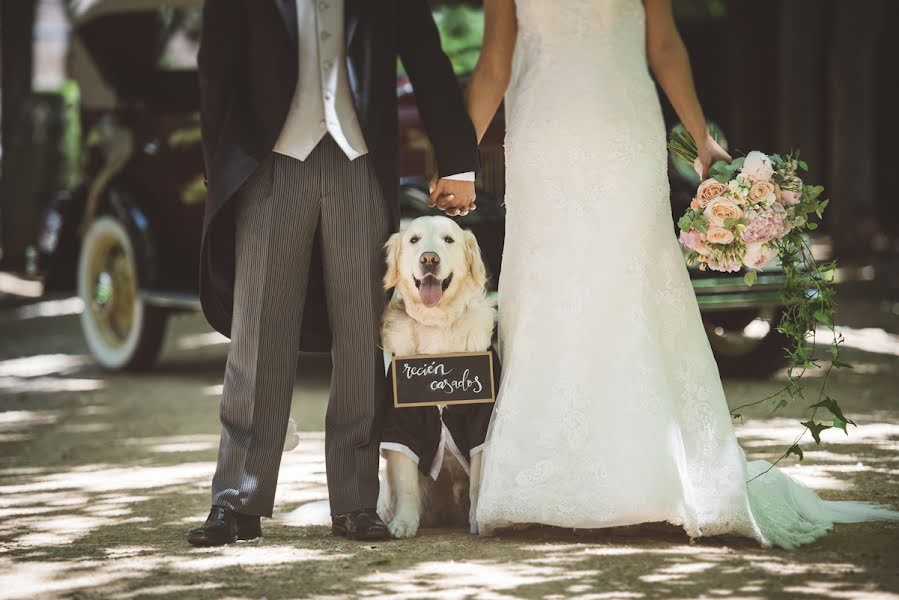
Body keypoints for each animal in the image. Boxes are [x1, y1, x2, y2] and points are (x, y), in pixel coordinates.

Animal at [376, 216, 496, 540]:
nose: (429, 259)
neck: (437, 325)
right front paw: (404, 522)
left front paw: (479, 520)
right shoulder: (401, 423)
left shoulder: (480, 420)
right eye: (414, 240)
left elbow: (479, 478)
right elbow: (406, 481)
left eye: (448, 240)